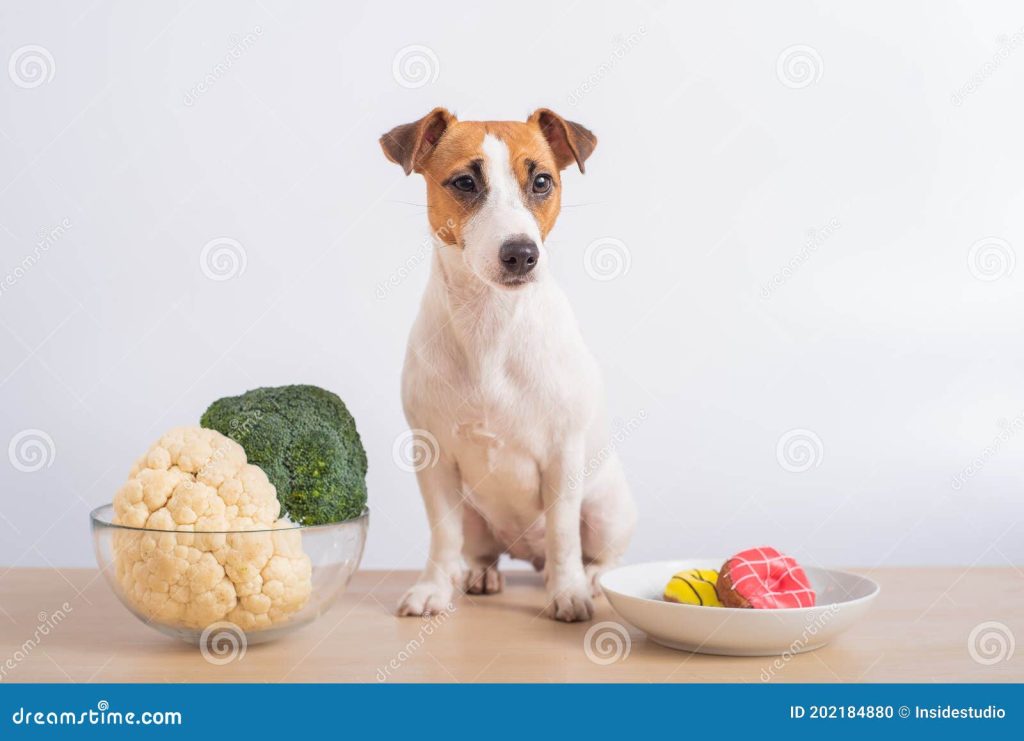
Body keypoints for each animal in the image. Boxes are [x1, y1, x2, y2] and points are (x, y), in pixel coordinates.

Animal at [380, 108, 634, 618]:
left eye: (541, 181)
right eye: (464, 182)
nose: (521, 252)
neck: (490, 322)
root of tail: (527, 554)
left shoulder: (563, 456)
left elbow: (563, 534)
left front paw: (569, 592)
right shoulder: (434, 460)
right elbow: (442, 535)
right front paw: (433, 588)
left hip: (607, 508)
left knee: (595, 552)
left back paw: (591, 578)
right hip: (475, 513)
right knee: (478, 548)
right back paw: (478, 573)